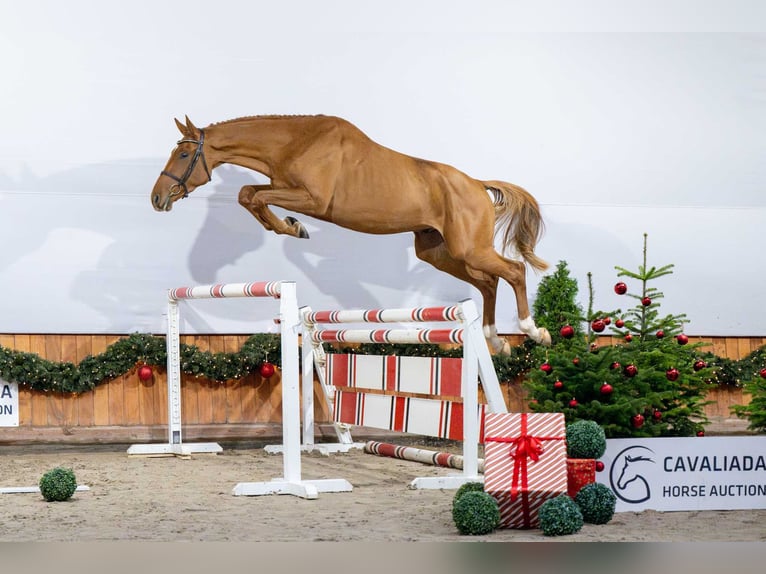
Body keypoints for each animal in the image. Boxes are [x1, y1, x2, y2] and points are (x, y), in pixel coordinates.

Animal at [151, 115, 551, 353]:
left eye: (183, 155)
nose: (157, 198)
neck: (295, 142)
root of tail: (477, 184)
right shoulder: (283, 188)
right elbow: (249, 194)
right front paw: (288, 226)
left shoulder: (311, 199)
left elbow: (253, 195)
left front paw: (293, 228)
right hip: (438, 252)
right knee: (488, 282)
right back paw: (496, 340)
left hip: (468, 248)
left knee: (513, 271)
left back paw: (533, 331)